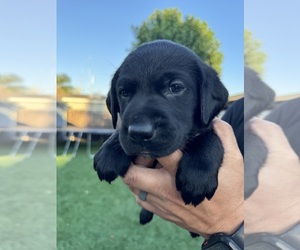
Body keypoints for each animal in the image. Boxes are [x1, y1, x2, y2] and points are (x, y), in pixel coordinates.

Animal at [94, 40, 227, 225]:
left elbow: (210, 138)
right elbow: (119, 133)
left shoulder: (209, 126)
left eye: (175, 87)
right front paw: (108, 153)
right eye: (124, 92)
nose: (139, 132)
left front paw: (198, 176)